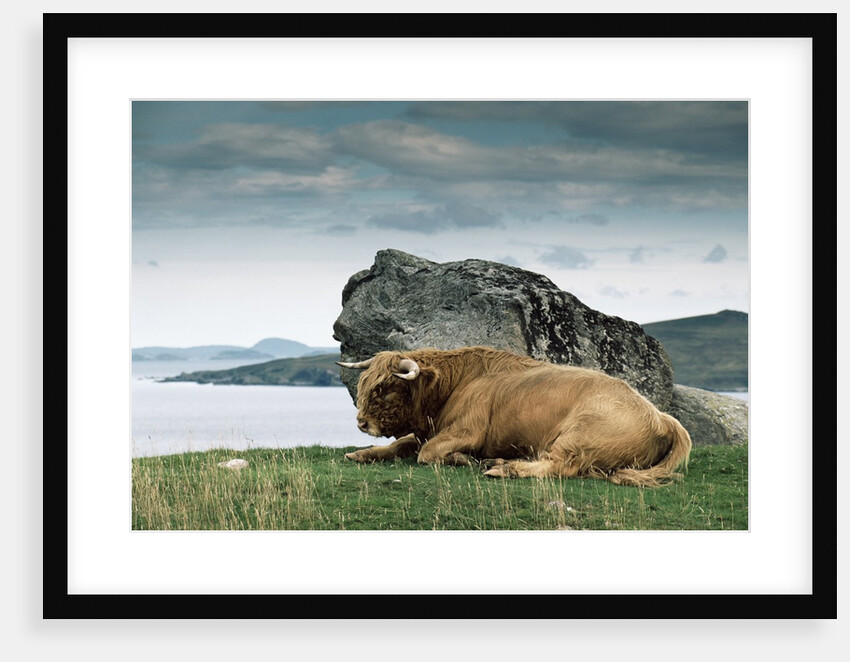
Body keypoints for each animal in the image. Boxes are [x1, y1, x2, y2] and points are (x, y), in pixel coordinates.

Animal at [337, 346, 691, 487]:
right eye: (366, 382)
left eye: (385, 387)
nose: (361, 422)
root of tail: (660, 416)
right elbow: (401, 445)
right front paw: (361, 453)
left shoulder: (466, 430)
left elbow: (426, 453)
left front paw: (463, 459)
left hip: (579, 436)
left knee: (560, 466)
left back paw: (502, 468)